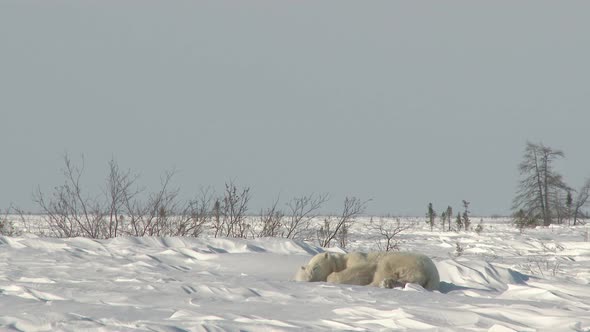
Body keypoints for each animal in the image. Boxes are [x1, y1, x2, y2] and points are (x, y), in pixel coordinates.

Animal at [294, 252, 440, 290]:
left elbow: (361, 268)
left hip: (407, 262)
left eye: (316, 267)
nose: (309, 278)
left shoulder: (357, 258)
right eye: (307, 268)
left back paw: (382, 283)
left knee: (382, 268)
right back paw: (389, 283)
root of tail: (434, 275)